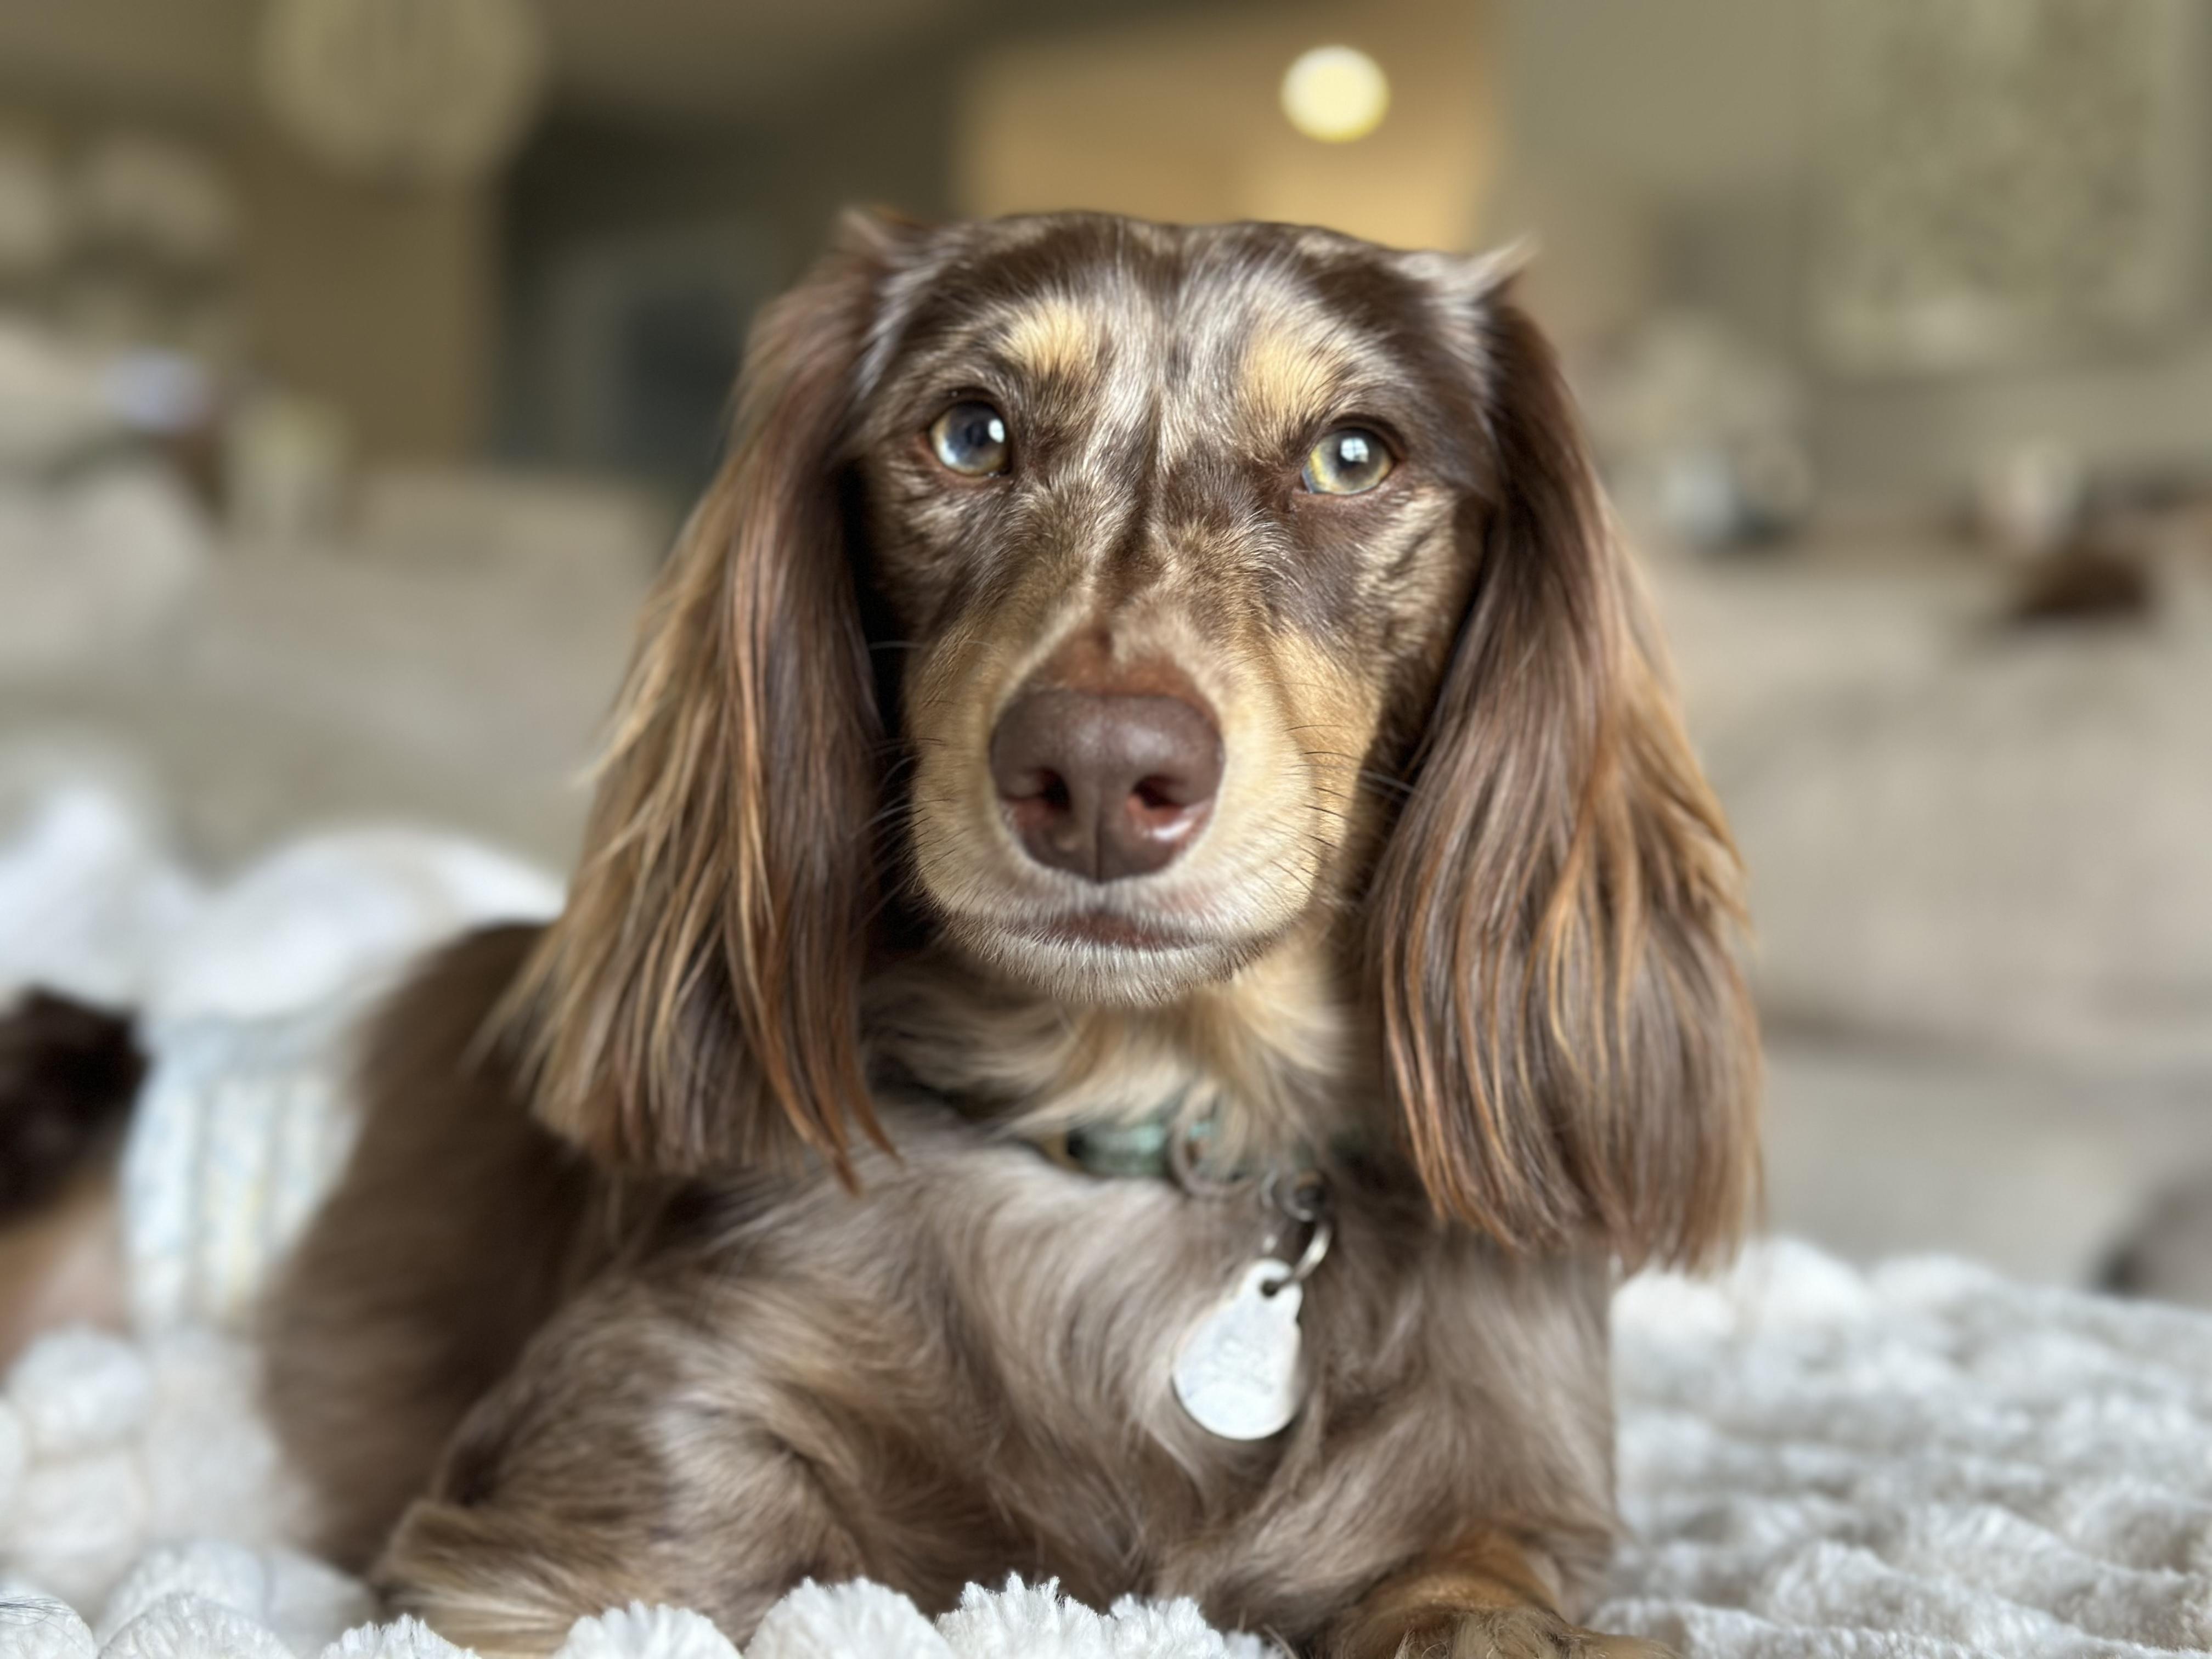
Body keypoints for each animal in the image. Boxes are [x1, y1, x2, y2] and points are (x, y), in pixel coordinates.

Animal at [6, 210, 1759, 1658]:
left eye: (1352, 453)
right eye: (968, 434)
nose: (1100, 775)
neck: (1146, 1130)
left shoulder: (1498, 1486)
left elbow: (1473, 1595)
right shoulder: (610, 1492)